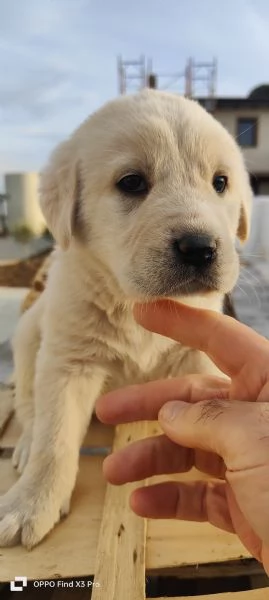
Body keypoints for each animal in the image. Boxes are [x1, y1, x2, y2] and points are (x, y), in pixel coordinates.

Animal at [1, 90, 250, 548]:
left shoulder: (198, 352)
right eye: (132, 182)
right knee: (29, 409)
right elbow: (54, 438)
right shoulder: (68, 362)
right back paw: (24, 445)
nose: (200, 248)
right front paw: (31, 504)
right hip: (29, 336)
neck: (134, 303)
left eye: (220, 183)